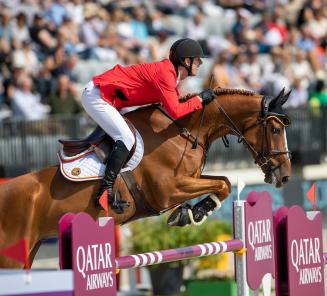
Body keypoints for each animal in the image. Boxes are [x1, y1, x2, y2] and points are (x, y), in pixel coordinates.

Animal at [0, 86, 292, 268]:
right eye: (276, 129)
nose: (285, 176)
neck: (182, 131)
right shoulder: (168, 190)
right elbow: (221, 183)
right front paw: (192, 213)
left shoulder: (190, 179)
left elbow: (226, 182)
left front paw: (190, 212)